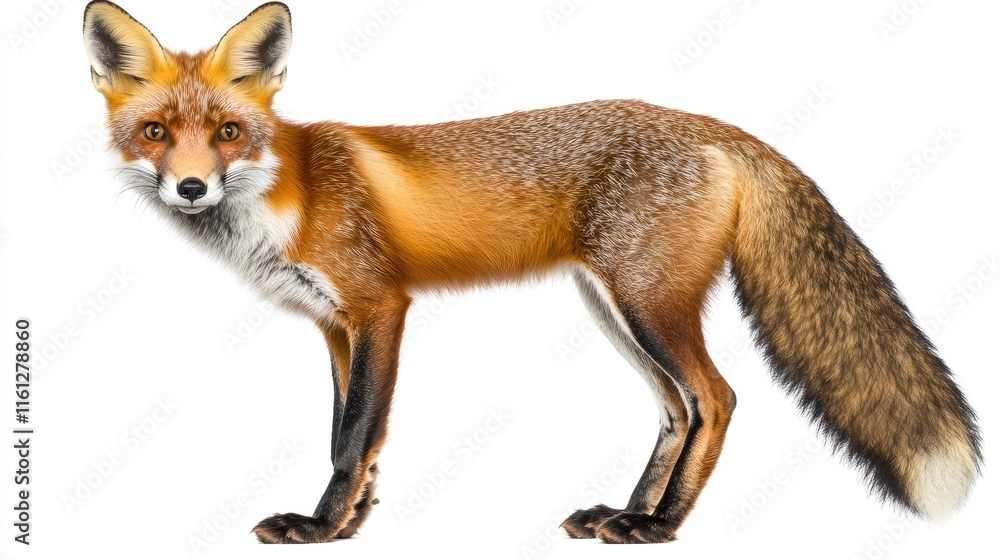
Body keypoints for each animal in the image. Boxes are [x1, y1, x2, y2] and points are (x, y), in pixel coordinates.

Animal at [82, 0, 981, 545]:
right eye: (157, 133)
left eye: (228, 132)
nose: (190, 187)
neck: (288, 190)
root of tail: (713, 125)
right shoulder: (336, 327)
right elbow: (356, 436)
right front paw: (354, 523)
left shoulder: (379, 308)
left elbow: (353, 435)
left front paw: (321, 529)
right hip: (614, 311)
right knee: (676, 410)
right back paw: (627, 513)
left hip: (648, 305)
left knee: (717, 399)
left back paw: (661, 528)